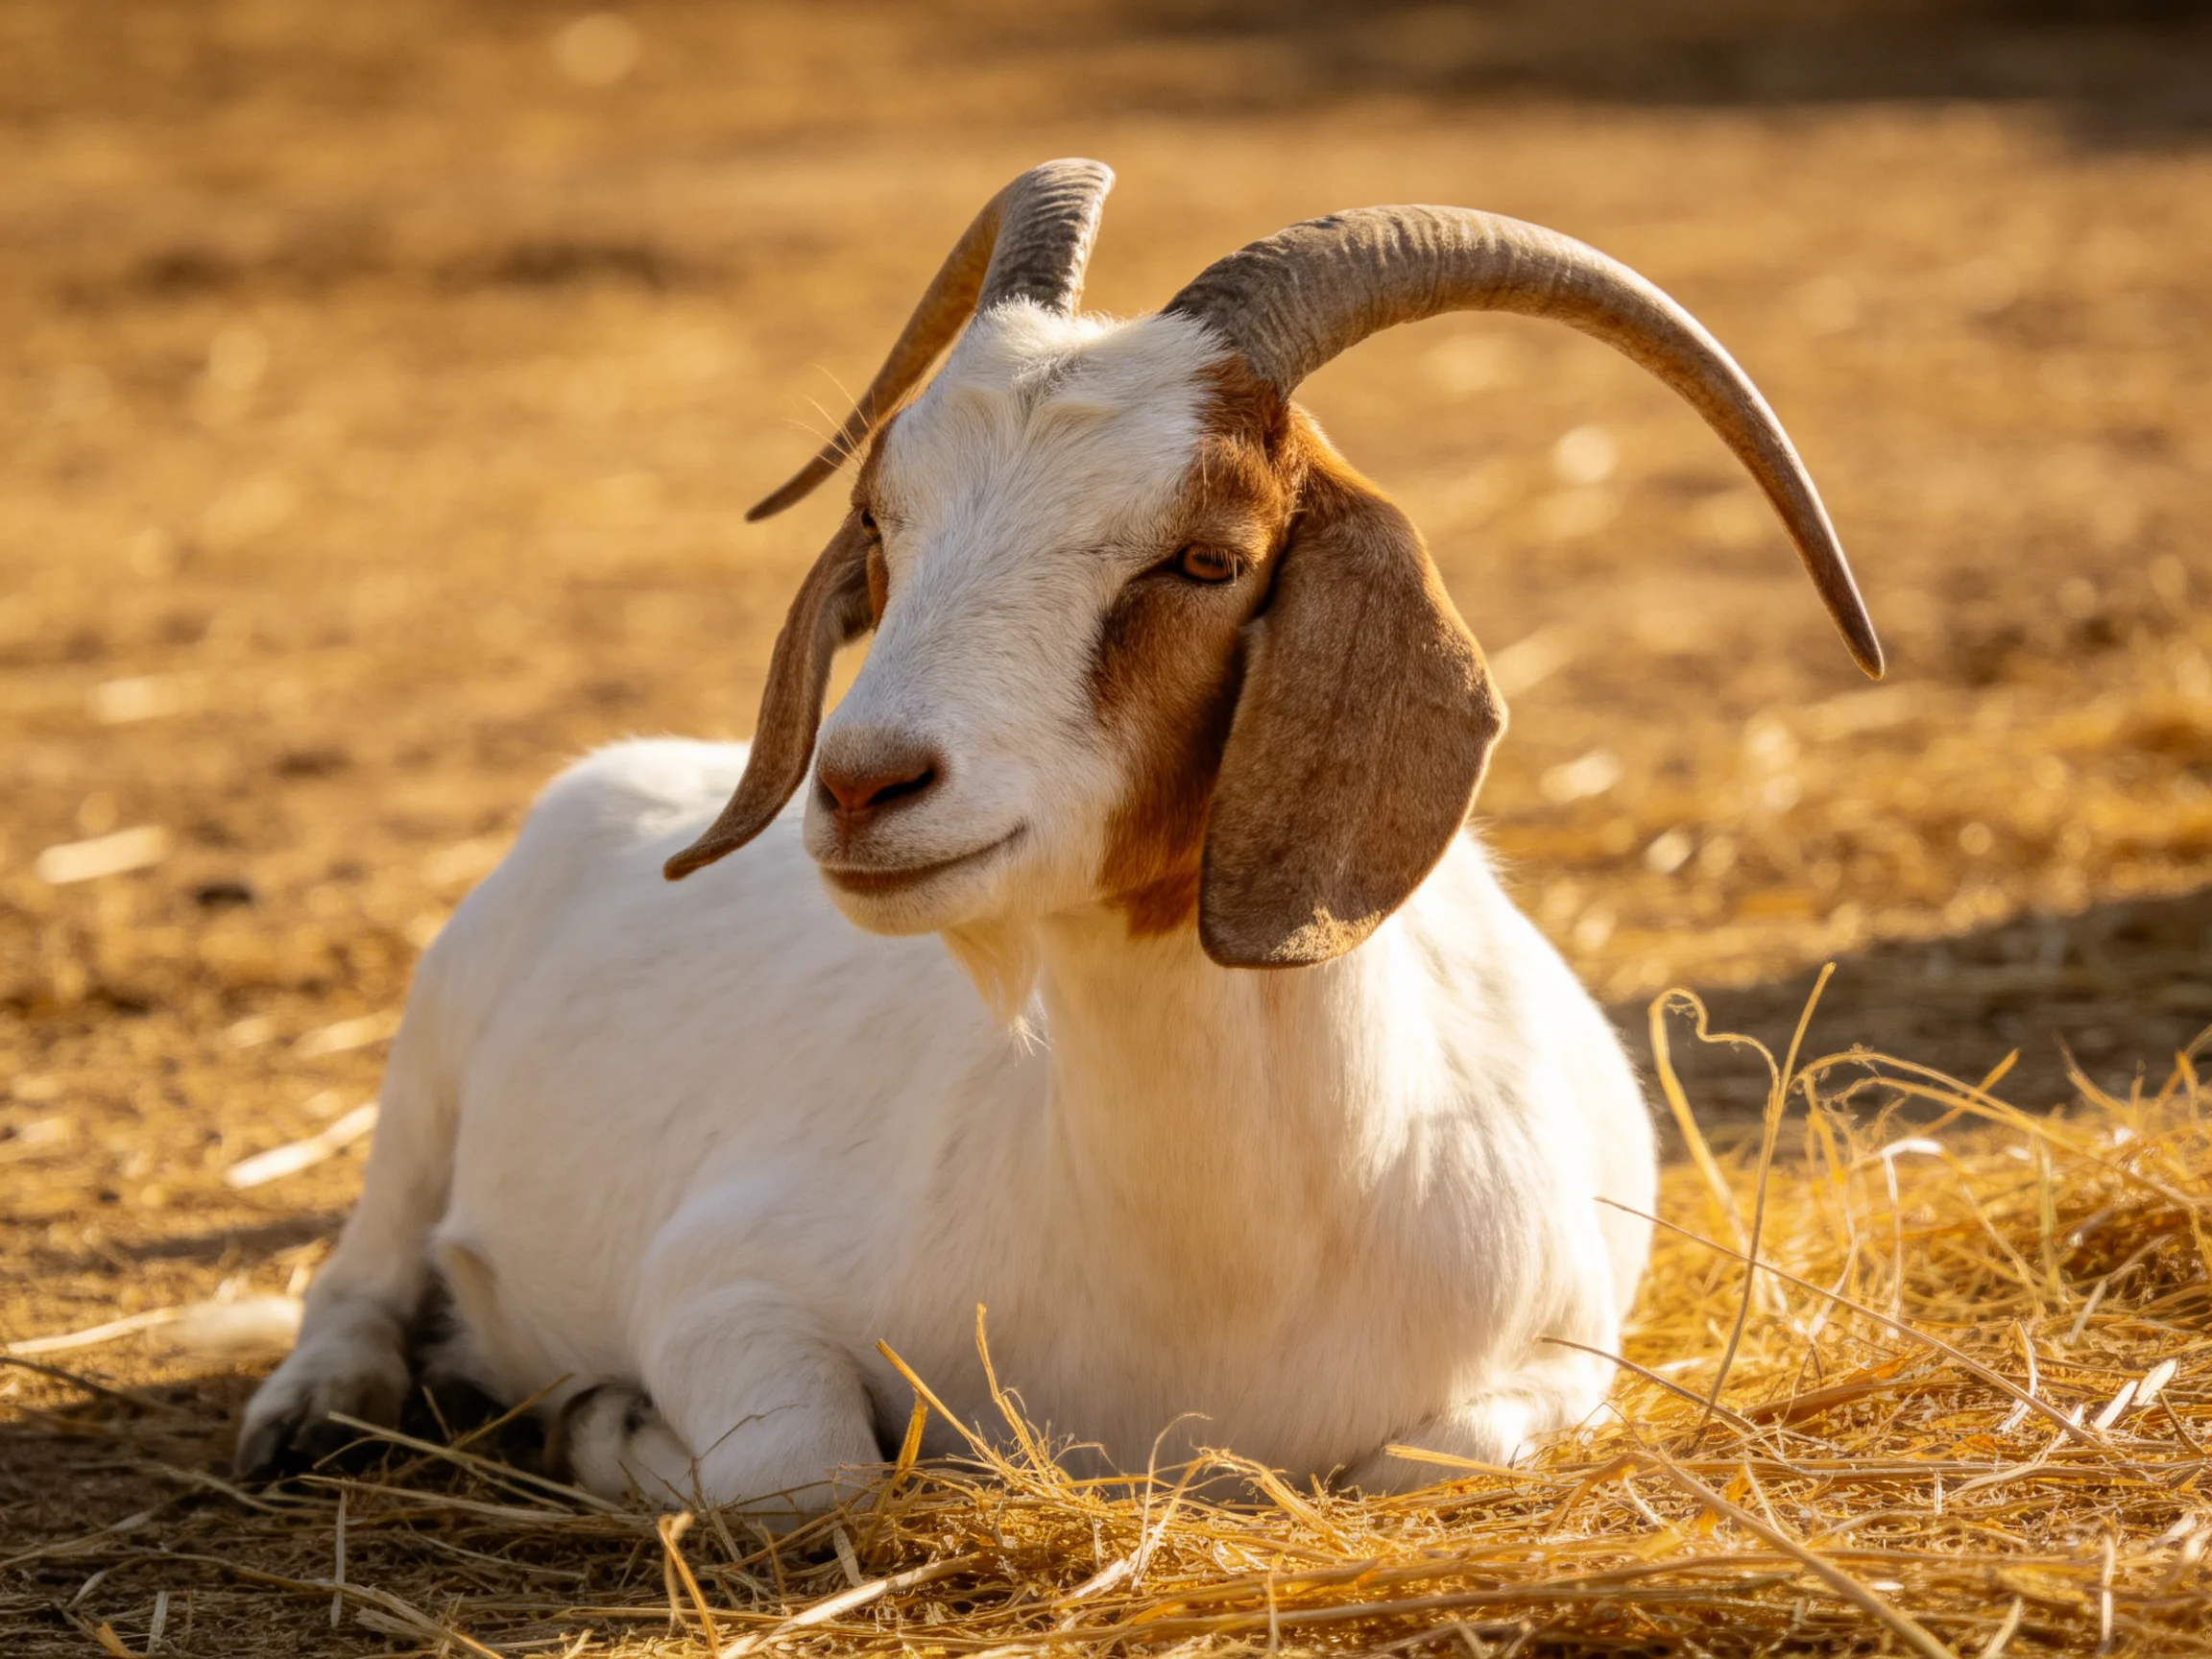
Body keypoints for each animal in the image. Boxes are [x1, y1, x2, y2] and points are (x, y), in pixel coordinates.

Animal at [239, 160, 1881, 1517]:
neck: (1221, 1270)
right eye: (885, 527)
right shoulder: (724, 1276)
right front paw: (599, 1417)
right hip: (425, 1065)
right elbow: (805, 1472)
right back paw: (313, 1417)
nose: (864, 784)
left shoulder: (1558, 1344)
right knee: (364, 1272)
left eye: (1207, 557)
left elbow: (1430, 1460)